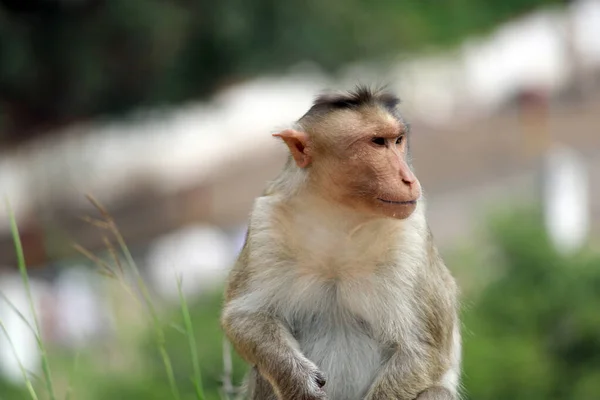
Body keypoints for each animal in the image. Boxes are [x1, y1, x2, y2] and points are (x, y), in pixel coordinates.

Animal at [220, 85, 460, 400]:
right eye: (377, 143)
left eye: (398, 140)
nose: (408, 179)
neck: (340, 217)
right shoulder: (265, 222)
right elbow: (245, 316)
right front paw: (300, 384)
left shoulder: (412, 236)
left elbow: (422, 349)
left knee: (436, 392)